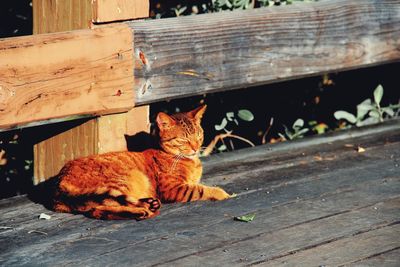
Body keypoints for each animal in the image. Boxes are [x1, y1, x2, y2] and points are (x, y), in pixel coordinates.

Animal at [50, 105, 231, 221]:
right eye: (183, 140)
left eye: (199, 136)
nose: (196, 148)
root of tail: (59, 183)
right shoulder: (173, 188)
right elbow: (202, 190)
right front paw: (224, 194)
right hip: (123, 180)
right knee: (103, 207)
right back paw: (144, 210)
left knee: (98, 211)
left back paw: (145, 208)